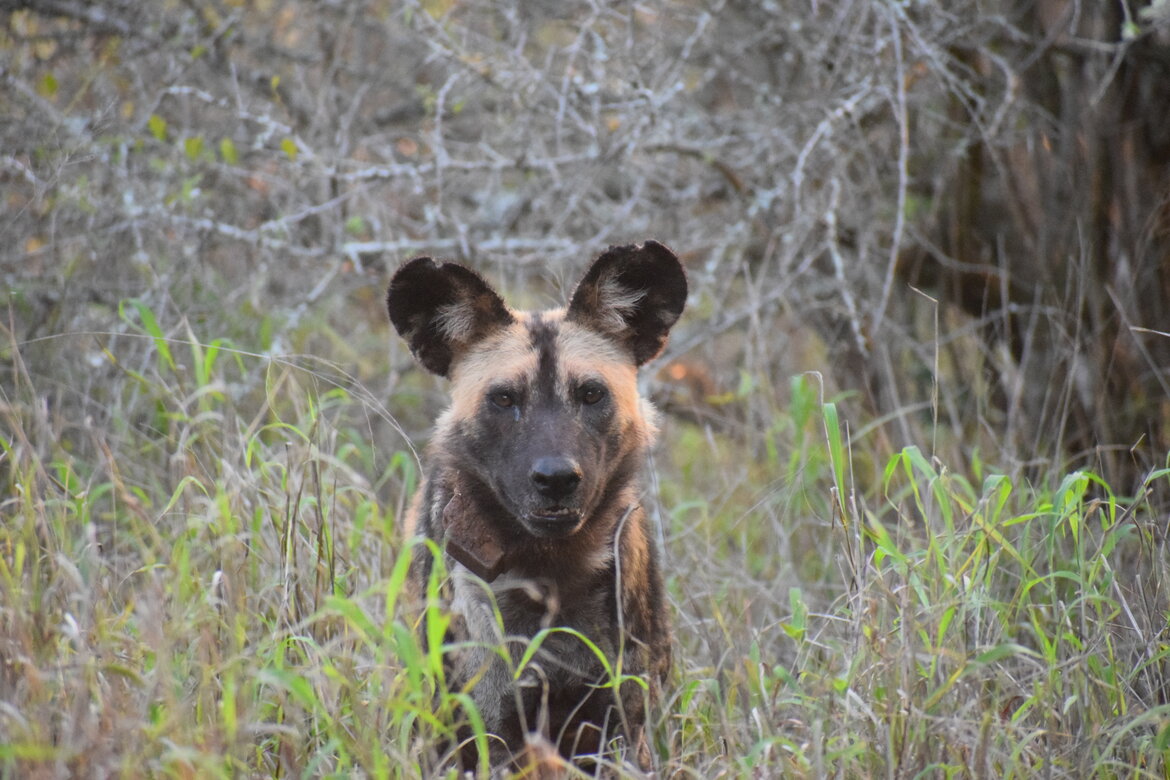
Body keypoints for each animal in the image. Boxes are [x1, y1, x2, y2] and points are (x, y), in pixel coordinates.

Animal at [388, 240, 683, 771]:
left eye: (591, 394)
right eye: (504, 399)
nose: (557, 479)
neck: (551, 570)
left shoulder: (621, 729)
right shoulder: (486, 728)